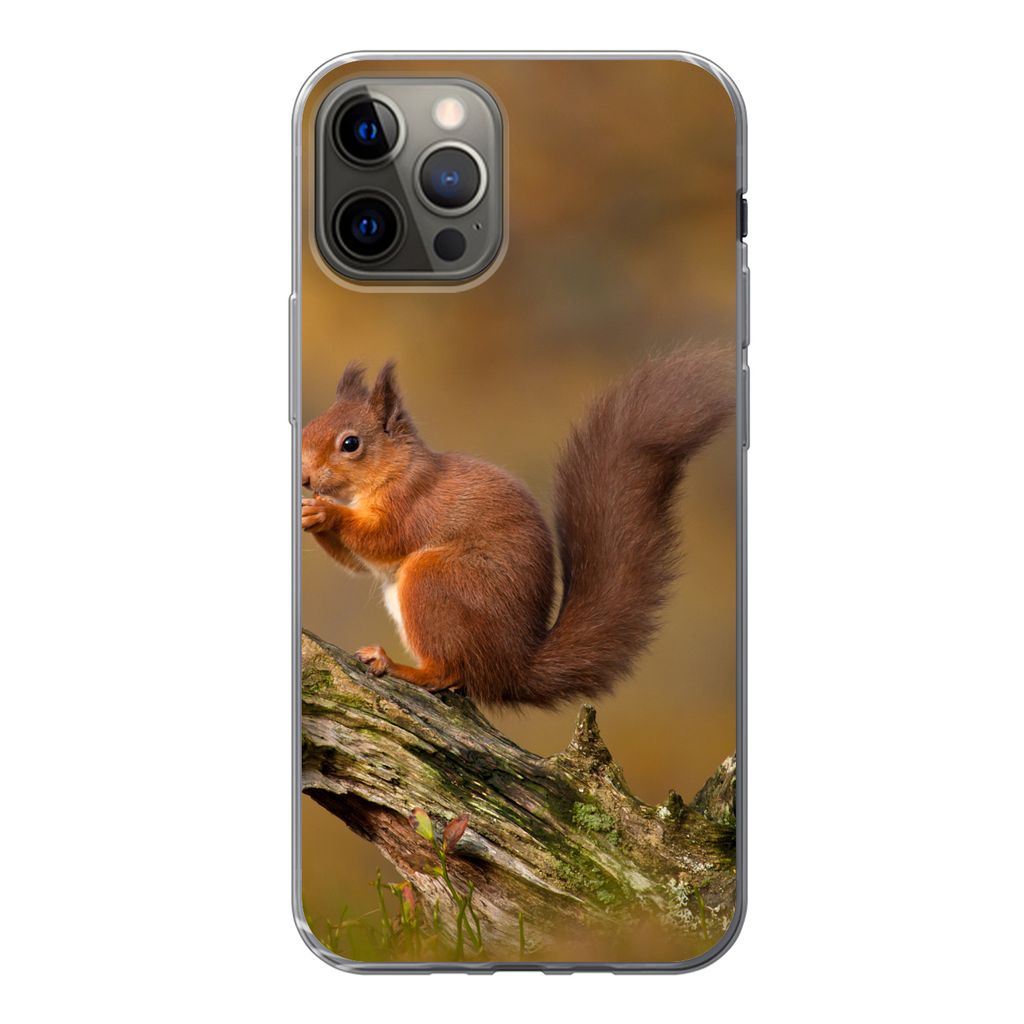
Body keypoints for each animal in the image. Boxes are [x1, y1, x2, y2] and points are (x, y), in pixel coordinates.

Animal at [301, 349, 733, 707]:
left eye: (351, 443)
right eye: (307, 428)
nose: (304, 479)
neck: (392, 472)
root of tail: (512, 667)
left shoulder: (413, 504)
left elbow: (384, 540)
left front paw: (325, 511)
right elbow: (359, 564)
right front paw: (310, 515)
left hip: (435, 580)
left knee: (448, 672)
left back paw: (397, 665)